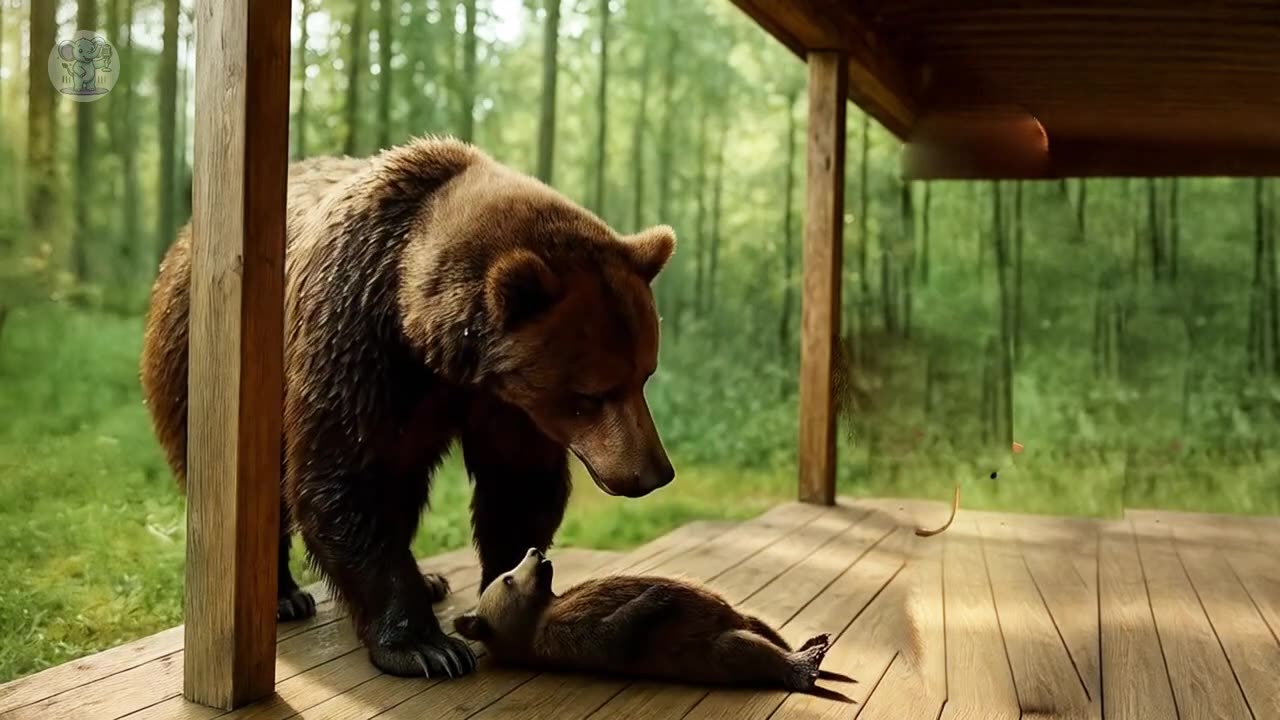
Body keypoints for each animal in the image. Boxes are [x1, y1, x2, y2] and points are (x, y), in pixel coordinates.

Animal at [139, 136, 677, 680]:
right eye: (590, 394)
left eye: (644, 374)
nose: (653, 473)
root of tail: (184, 238)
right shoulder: (356, 339)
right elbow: (344, 476)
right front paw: (426, 646)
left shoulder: (505, 402)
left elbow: (517, 484)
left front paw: (510, 584)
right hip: (200, 356)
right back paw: (284, 596)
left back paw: (430, 580)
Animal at [454, 547, 834, 692]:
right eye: (507, 579)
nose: (534, 551)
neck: (543, 610)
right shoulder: (560, 638)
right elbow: (612, 637)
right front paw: (655, 595)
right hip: (708, 650)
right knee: (743, 647)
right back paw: (804, 663)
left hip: (737, 615)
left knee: (759, 624)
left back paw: (807, 645)